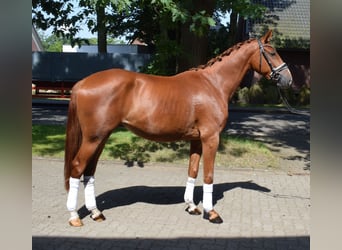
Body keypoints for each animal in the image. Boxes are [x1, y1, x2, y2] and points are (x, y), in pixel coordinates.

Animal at [63, 29, 292, 227]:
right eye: (272, 52)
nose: (288, 79)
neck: (213, 84)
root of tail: (81, 84)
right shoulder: (211, 138)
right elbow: (208, 175)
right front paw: (211, 213)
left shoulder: (196, 139)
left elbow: (193, 170)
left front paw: (192, 206)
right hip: (93, 139)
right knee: (77, 167)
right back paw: (74, 216)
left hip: (100, 138)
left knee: (89, 171)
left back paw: (95, 213)